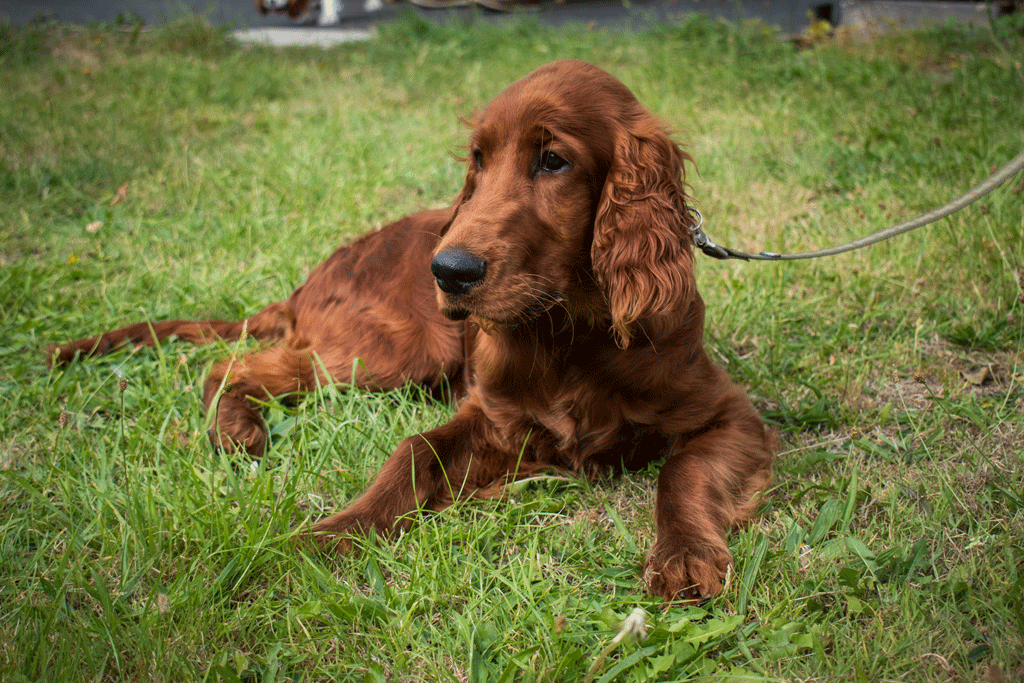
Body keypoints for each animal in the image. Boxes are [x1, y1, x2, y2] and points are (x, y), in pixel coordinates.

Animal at [51, 61, 770, 602]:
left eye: (554, 160)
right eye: (478, 158)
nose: (448, 270)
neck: (571, 332)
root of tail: (312, 278)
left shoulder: (728, 415)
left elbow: (681, 473)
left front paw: (683, 555)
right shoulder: (495, 416)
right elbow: (414, 450)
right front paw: (332, 534)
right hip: (398, 352)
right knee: (235, 367)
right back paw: (236, 431)